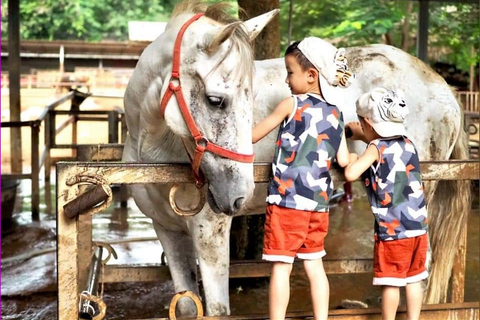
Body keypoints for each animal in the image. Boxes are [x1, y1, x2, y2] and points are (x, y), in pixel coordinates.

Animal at [123, 0, 468, 316]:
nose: (239, 196)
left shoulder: (210, 233)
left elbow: (217, 310)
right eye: (216, 100)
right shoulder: (166, 231)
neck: (154, 150)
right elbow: (185, 306)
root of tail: (444, 89)